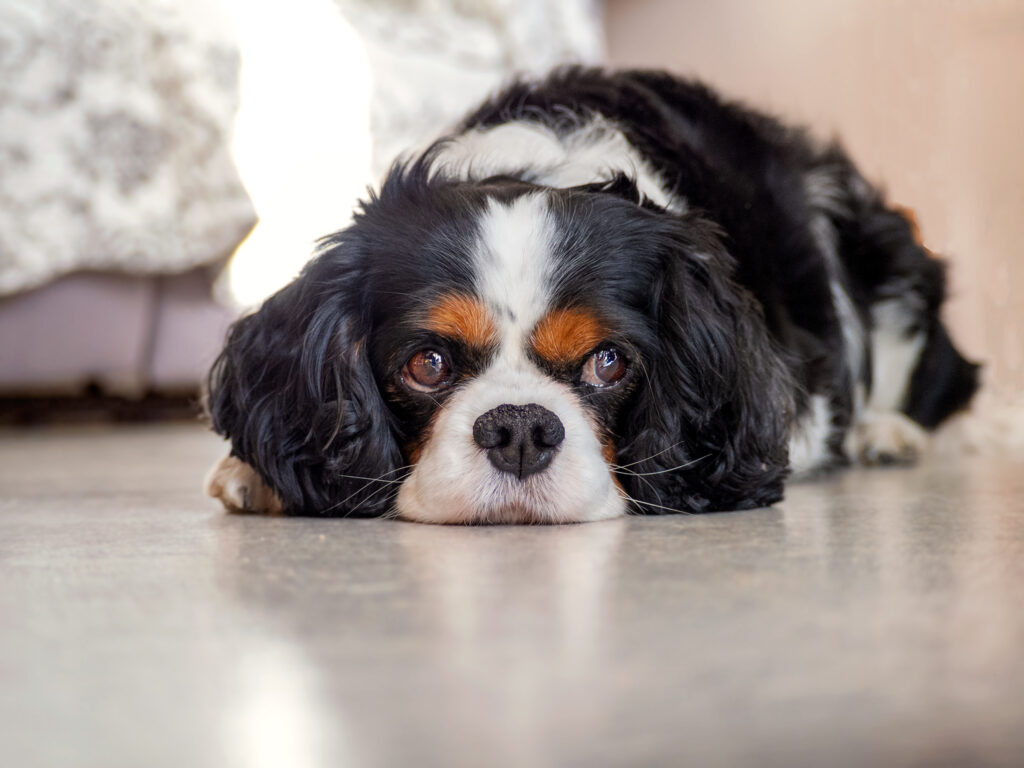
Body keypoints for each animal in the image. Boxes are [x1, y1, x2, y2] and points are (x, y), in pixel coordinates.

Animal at [199, 67, 974, 524]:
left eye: (608, 362)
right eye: (427, 364)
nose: (518, 429)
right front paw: (253, 472)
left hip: (886, 258)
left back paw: (887, 434)